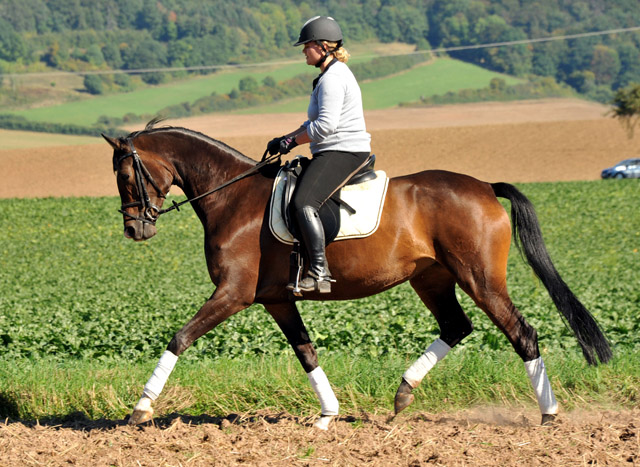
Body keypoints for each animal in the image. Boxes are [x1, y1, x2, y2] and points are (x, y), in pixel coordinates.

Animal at [102, 121, 612, 432]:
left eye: (126, 176)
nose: (134, 229)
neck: (234, 199)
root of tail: (485, 187)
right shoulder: (276, 300)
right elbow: (306, 353)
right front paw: (327, 415)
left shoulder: (232, 293)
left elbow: (179, 338)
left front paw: (141, 408)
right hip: (432, 278)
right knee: (456, 326)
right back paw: (403, 395)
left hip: (480, 279)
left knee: (520, 332)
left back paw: (549, 414)